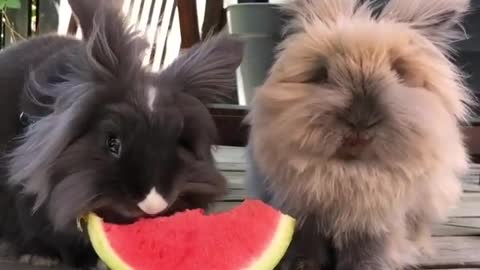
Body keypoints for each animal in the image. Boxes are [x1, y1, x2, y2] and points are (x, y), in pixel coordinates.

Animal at [246, 0, 474, 268]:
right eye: (321, 73)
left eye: (399, 72)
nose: (361, 120)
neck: (350, 170)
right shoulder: (302, 211)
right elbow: (305, 241)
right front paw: (301, 265)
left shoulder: (375, 224)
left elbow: (368, 249)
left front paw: (366, 266)